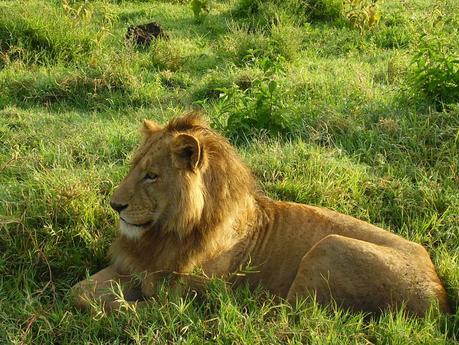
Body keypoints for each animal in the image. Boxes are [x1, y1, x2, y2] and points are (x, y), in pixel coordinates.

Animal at [70, 112, 452, 314]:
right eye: (133, 167)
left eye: (152, 175)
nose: (115, 205)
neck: (169, 231)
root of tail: (441, 296)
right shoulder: (132, 264)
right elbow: (80, 290)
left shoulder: (196, 292)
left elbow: (153, 299)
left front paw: (130, 308)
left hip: (329, 247)